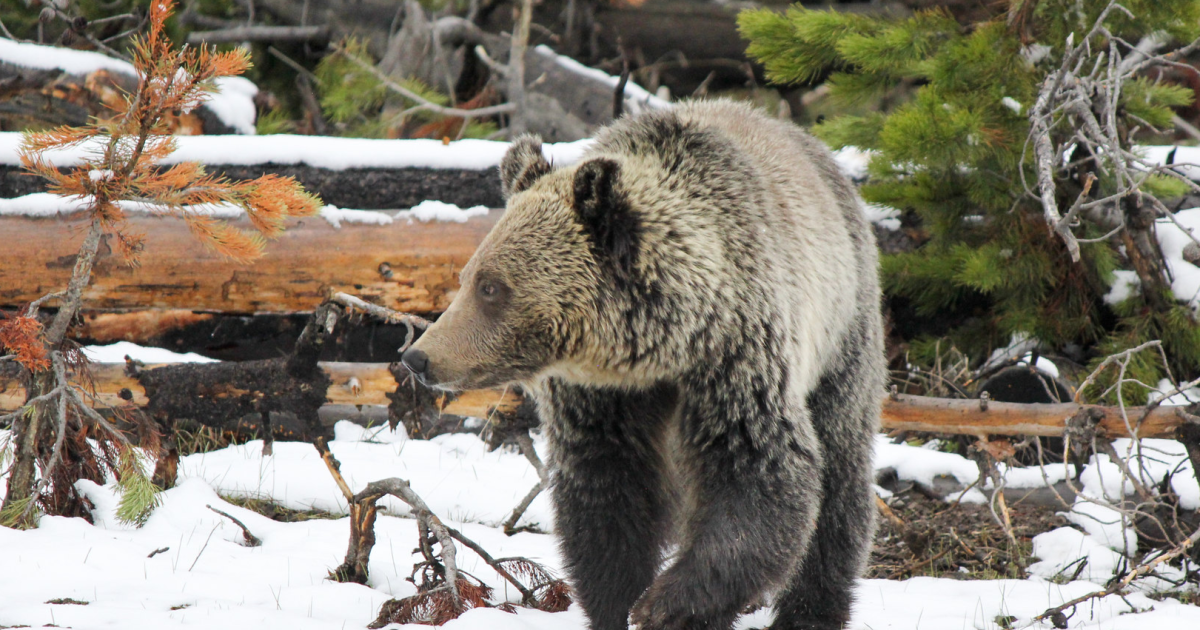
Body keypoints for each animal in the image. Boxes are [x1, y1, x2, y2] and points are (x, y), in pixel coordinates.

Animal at [401, 99, 885, 630]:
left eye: (491, 287)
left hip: (842, 331)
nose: (418, 356)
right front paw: (621, 602)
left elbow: (762, 478)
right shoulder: (601, 400)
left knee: (841, 475)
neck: (658, 350)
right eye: (467, 277)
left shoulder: (736, 362)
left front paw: (665, 603)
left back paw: (811, 611)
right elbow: (608, 500)